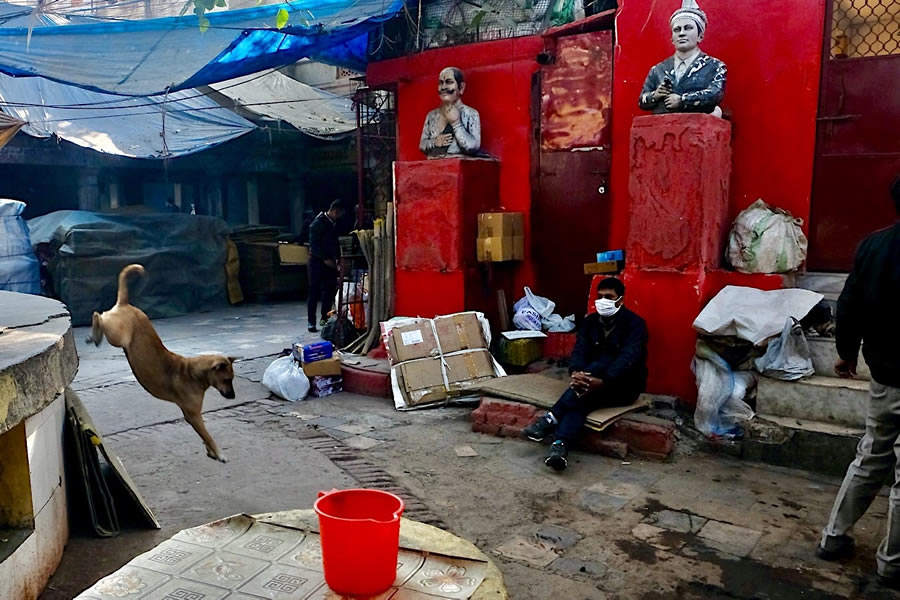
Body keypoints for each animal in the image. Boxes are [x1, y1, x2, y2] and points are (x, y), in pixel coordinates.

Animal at [87, 264, 234, 464]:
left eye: (232, 379)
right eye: (227, 379)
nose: (233, 396)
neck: (193, 373)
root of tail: (125, 304)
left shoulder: (195, 416)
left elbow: (204, 436)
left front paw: (211, 452)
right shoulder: (193, 415)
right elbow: (207, 435)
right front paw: (219, 453)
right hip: (117, 334)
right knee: (99, 315)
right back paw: (95, 332)